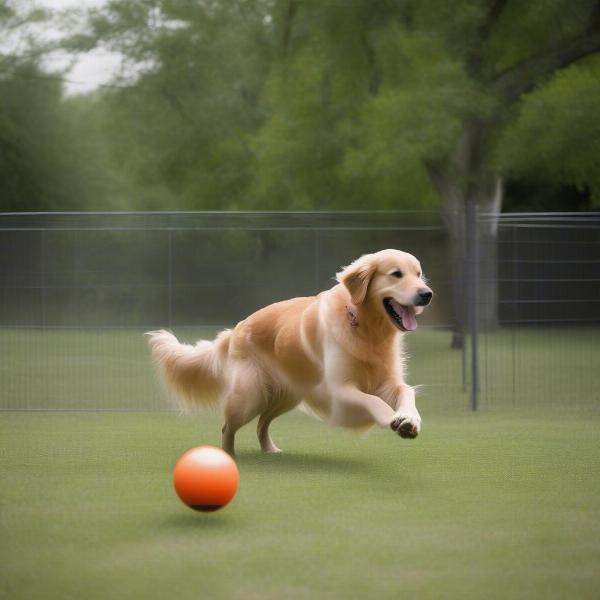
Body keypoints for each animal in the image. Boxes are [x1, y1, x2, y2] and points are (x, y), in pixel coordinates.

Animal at [148, 250, 434, 454]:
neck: (367, 328)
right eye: (396, 274)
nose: (427, 294)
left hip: (286, 396)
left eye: (419, 274)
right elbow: (372, 401)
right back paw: (226, 457)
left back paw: (271, 450)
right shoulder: (340, 391)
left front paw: (409, 419)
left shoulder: (387, 382)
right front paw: (391, 418)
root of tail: (236, 329)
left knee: (262, 424)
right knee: (228, 427)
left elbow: (406, 391)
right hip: (249, 396)